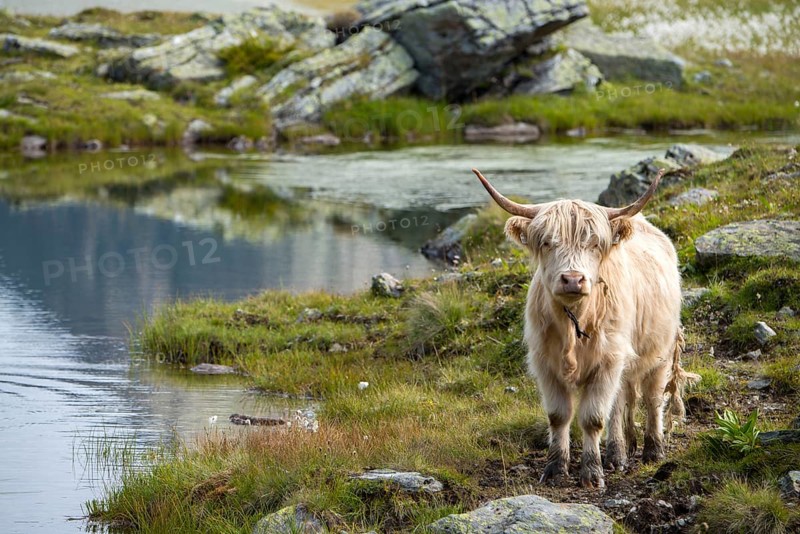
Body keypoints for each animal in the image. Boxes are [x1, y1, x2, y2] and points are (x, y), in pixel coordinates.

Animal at [472, 168, 699, 488]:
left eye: (593, 244)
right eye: (547, 242)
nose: (572, 279)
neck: (574, 322)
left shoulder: (608, 361)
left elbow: (593, 418)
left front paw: (592, 473)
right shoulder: (545, 363)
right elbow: (559, 415)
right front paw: (556, 468)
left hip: (660, 352)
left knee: (653, 398)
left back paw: (653, 450)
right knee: (621, 401)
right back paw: (618, 453)